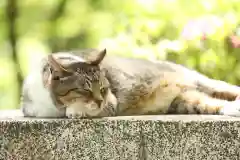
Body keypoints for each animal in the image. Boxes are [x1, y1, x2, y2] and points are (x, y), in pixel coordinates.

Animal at [21, 47, 240, 117]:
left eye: (103, 89)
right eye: (84, 90)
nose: (99, 100)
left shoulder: (111, 102)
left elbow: (77, 109)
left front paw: (75, 110)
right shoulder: (30, 108)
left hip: (204, 83)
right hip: (185, 101)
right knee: (215, 104)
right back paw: (233, 108)